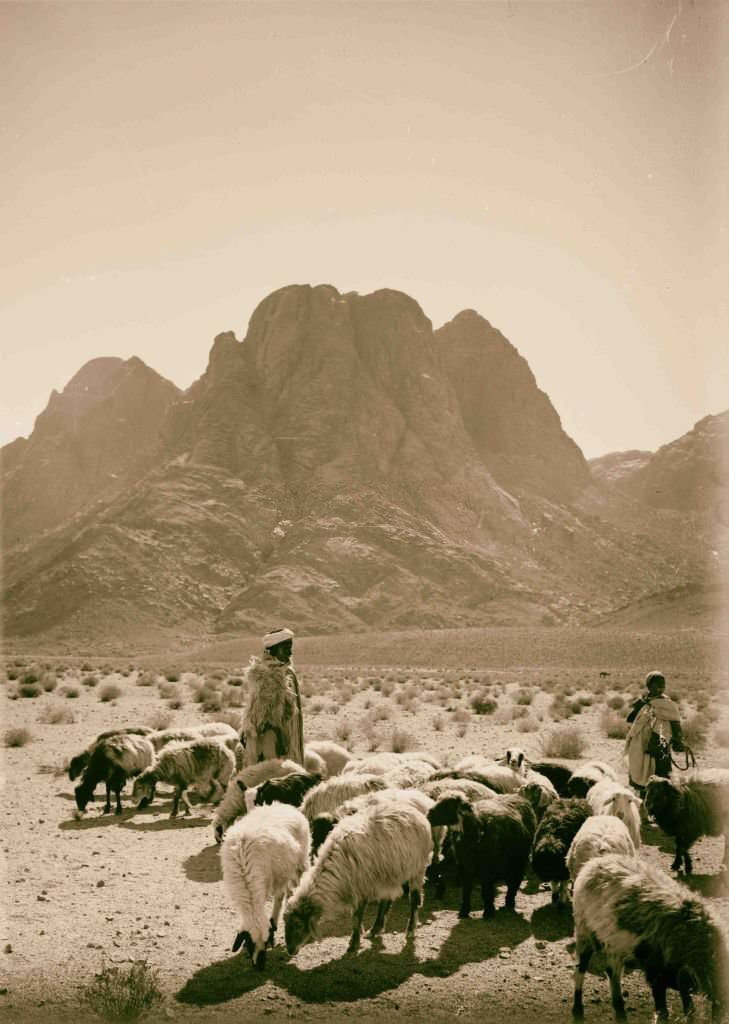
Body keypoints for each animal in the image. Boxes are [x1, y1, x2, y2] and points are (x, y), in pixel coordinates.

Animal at [221, 798, 309, 966]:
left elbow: (278, 899)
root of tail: (283, 805)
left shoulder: (272, 880)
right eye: (249, 943)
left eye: (267, 943)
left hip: (298, 862)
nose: (260, 966)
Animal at [284, 798, 432, 950]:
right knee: (386, 900)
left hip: (417, 869)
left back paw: (410, 930)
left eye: (298, 925)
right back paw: (375, 929)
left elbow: (357, 916)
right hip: (389, 873)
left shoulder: (361, 886)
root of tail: (414, 811)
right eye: (285, 924)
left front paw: (354, 943)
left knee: (414, 900)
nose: (290, 950)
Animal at [427, 786, 536, 917]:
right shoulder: (464, 865)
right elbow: (466, 889)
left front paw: (488, 912)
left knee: (514, 880)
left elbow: (486, 891)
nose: (428, 815)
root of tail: (517, 796)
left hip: (519, 860)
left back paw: (510, 902)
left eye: (448, 804)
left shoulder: (487, 867)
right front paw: (464, 911)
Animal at [573, 851, 724, 1019]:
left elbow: (688, 1008)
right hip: (584, 928)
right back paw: (577, 1008)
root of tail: (595, 862)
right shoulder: (657, 972)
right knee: (581, 967)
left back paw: (619, 1007)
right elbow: (663, 1012)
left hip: (613, 942)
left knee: (613, 972)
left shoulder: (678, 976)